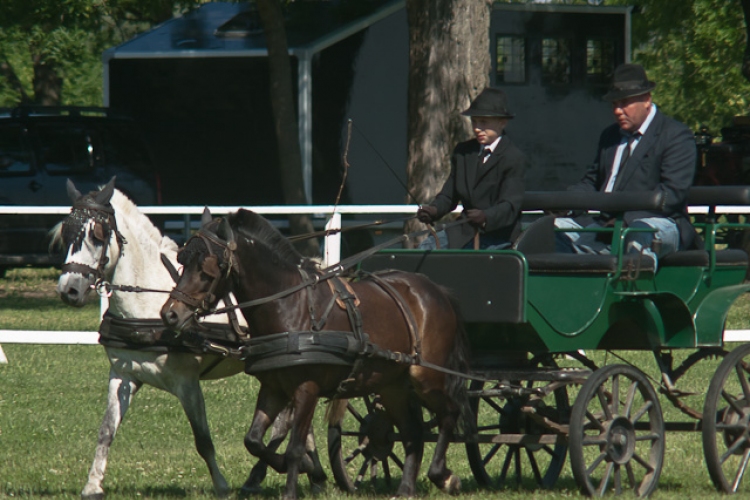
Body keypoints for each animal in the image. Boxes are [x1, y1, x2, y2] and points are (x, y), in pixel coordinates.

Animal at [53, 180, 324, 500]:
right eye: (66, 233)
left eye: (97, 235)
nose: (69, 290)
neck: (147, 302)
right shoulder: (123, 374)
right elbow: (106, 430)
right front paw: (93, 484)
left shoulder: (186, 382)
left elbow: (203, 439)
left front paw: (221, 485)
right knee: (295, 419)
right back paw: (308, 474)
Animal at [162, 210, 472, 500]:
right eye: (183, 261)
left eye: (208, 268)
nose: (170, 314)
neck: (290, 306)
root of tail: (435, 290)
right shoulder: (273, 387)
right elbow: (254, 440)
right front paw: (307, 470)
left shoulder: (306, 389)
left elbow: (295, 447)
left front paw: (294, 487)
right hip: (392, 386)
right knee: (412, 433)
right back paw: (406, 488)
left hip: (426, 377)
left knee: (450, 412)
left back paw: (443, 476)